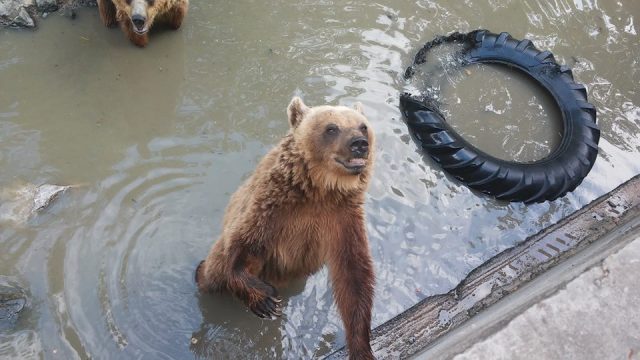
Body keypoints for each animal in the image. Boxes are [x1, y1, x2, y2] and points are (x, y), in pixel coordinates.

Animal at [195, 97, 376, 358]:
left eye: (363, 126)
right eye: (331, 128)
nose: (359, 144)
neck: (320, 190)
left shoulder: (343, 218)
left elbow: (354, 277)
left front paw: (361, 346)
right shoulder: (274, 207)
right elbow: (242, 245)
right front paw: (265, 301)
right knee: (213, 270)